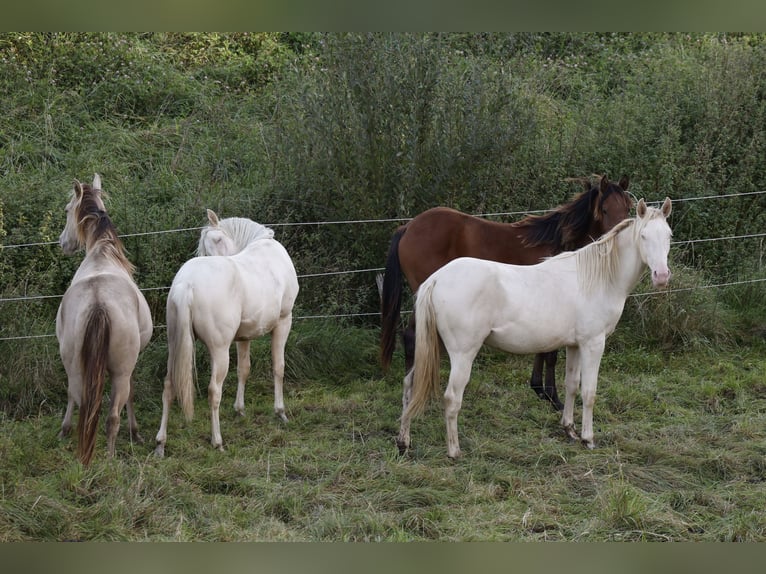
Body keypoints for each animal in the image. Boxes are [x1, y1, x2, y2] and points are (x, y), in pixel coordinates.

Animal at [56, 173, 154, 466]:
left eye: (67, 210)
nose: (62, 242)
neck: (102, 253)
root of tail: (98, 303)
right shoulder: (131, 364)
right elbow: (131, 393)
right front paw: (136, 432)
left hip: (77, 368)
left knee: (82, 403)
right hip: (119, 371)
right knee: (110, 416)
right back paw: (109, 460)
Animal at [154, 209, 300, 456]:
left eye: (218, 240)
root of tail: (187, 284)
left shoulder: (244, 336)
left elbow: (244, 370)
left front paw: (240, 409)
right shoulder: (283, 322)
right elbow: (278, 367)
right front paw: (280, 412)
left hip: (176, 346)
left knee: (169, 385)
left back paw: (160, 444)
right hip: (220, 350)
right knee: (214, 391)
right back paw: (218, 441)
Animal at [380, 173, 636, 412]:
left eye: (628, 207)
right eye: (604, 209)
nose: (621, 236)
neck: (558, 243)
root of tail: (408, 227)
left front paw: (540, 389)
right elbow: (550, 353)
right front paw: (553, 397)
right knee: (412, 338)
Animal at [400, 198, 676, 460]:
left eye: (669, 235)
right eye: (643, 236)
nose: (661, 276)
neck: (597, 278)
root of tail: (437, 279)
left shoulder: (575, 345)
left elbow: (571, 385)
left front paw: (569, 430)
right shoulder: (593, 344)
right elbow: (589, 392)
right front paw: (588, 438)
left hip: (430, 346)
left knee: (410, 383)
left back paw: (403, 441)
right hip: (462, 354)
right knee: (451, 398)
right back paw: (454, 451)